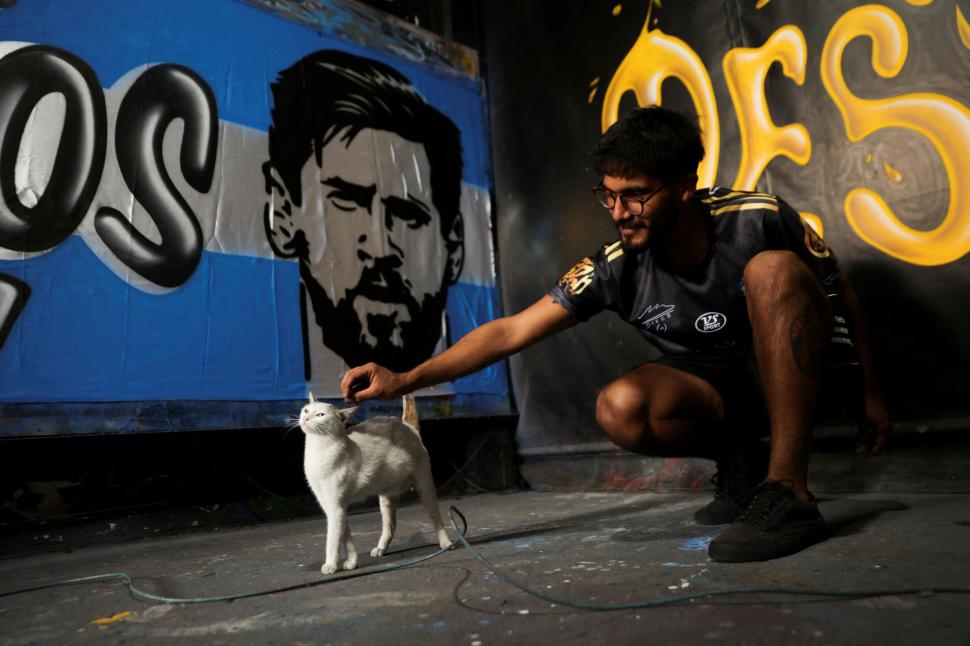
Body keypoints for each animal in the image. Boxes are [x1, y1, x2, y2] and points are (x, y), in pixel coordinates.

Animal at [300, 392, 452, 576]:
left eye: (320, 415)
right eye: (306, 410)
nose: (305, 418)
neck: (318, 450)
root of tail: (408, 427)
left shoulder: (336, 506)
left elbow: (333, 540)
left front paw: (331, 565)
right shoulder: (333, 506)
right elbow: (345, 535)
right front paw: (352, 562)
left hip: (425, 488)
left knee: (436, 518)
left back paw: (446, 543)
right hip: (386, 499)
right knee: (391, 525)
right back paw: (381, 549)